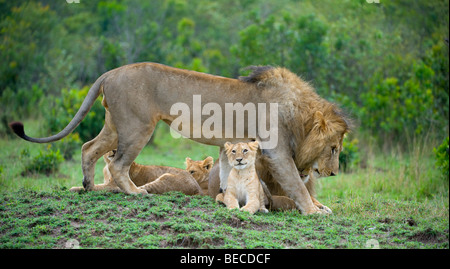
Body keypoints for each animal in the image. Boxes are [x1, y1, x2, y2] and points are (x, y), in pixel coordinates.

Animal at [9, 62, 348, 214]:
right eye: (333, 148)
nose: (334, 173)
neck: (299, 113)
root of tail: (111, 71)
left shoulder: (231, 146)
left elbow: (227, 174)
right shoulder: (276, 151)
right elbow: (296, 185)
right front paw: (314, 212)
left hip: (114, 126)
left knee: (88, 147)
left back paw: (89, 187)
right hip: (137, 127)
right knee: (118, 164)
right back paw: (134, 193)